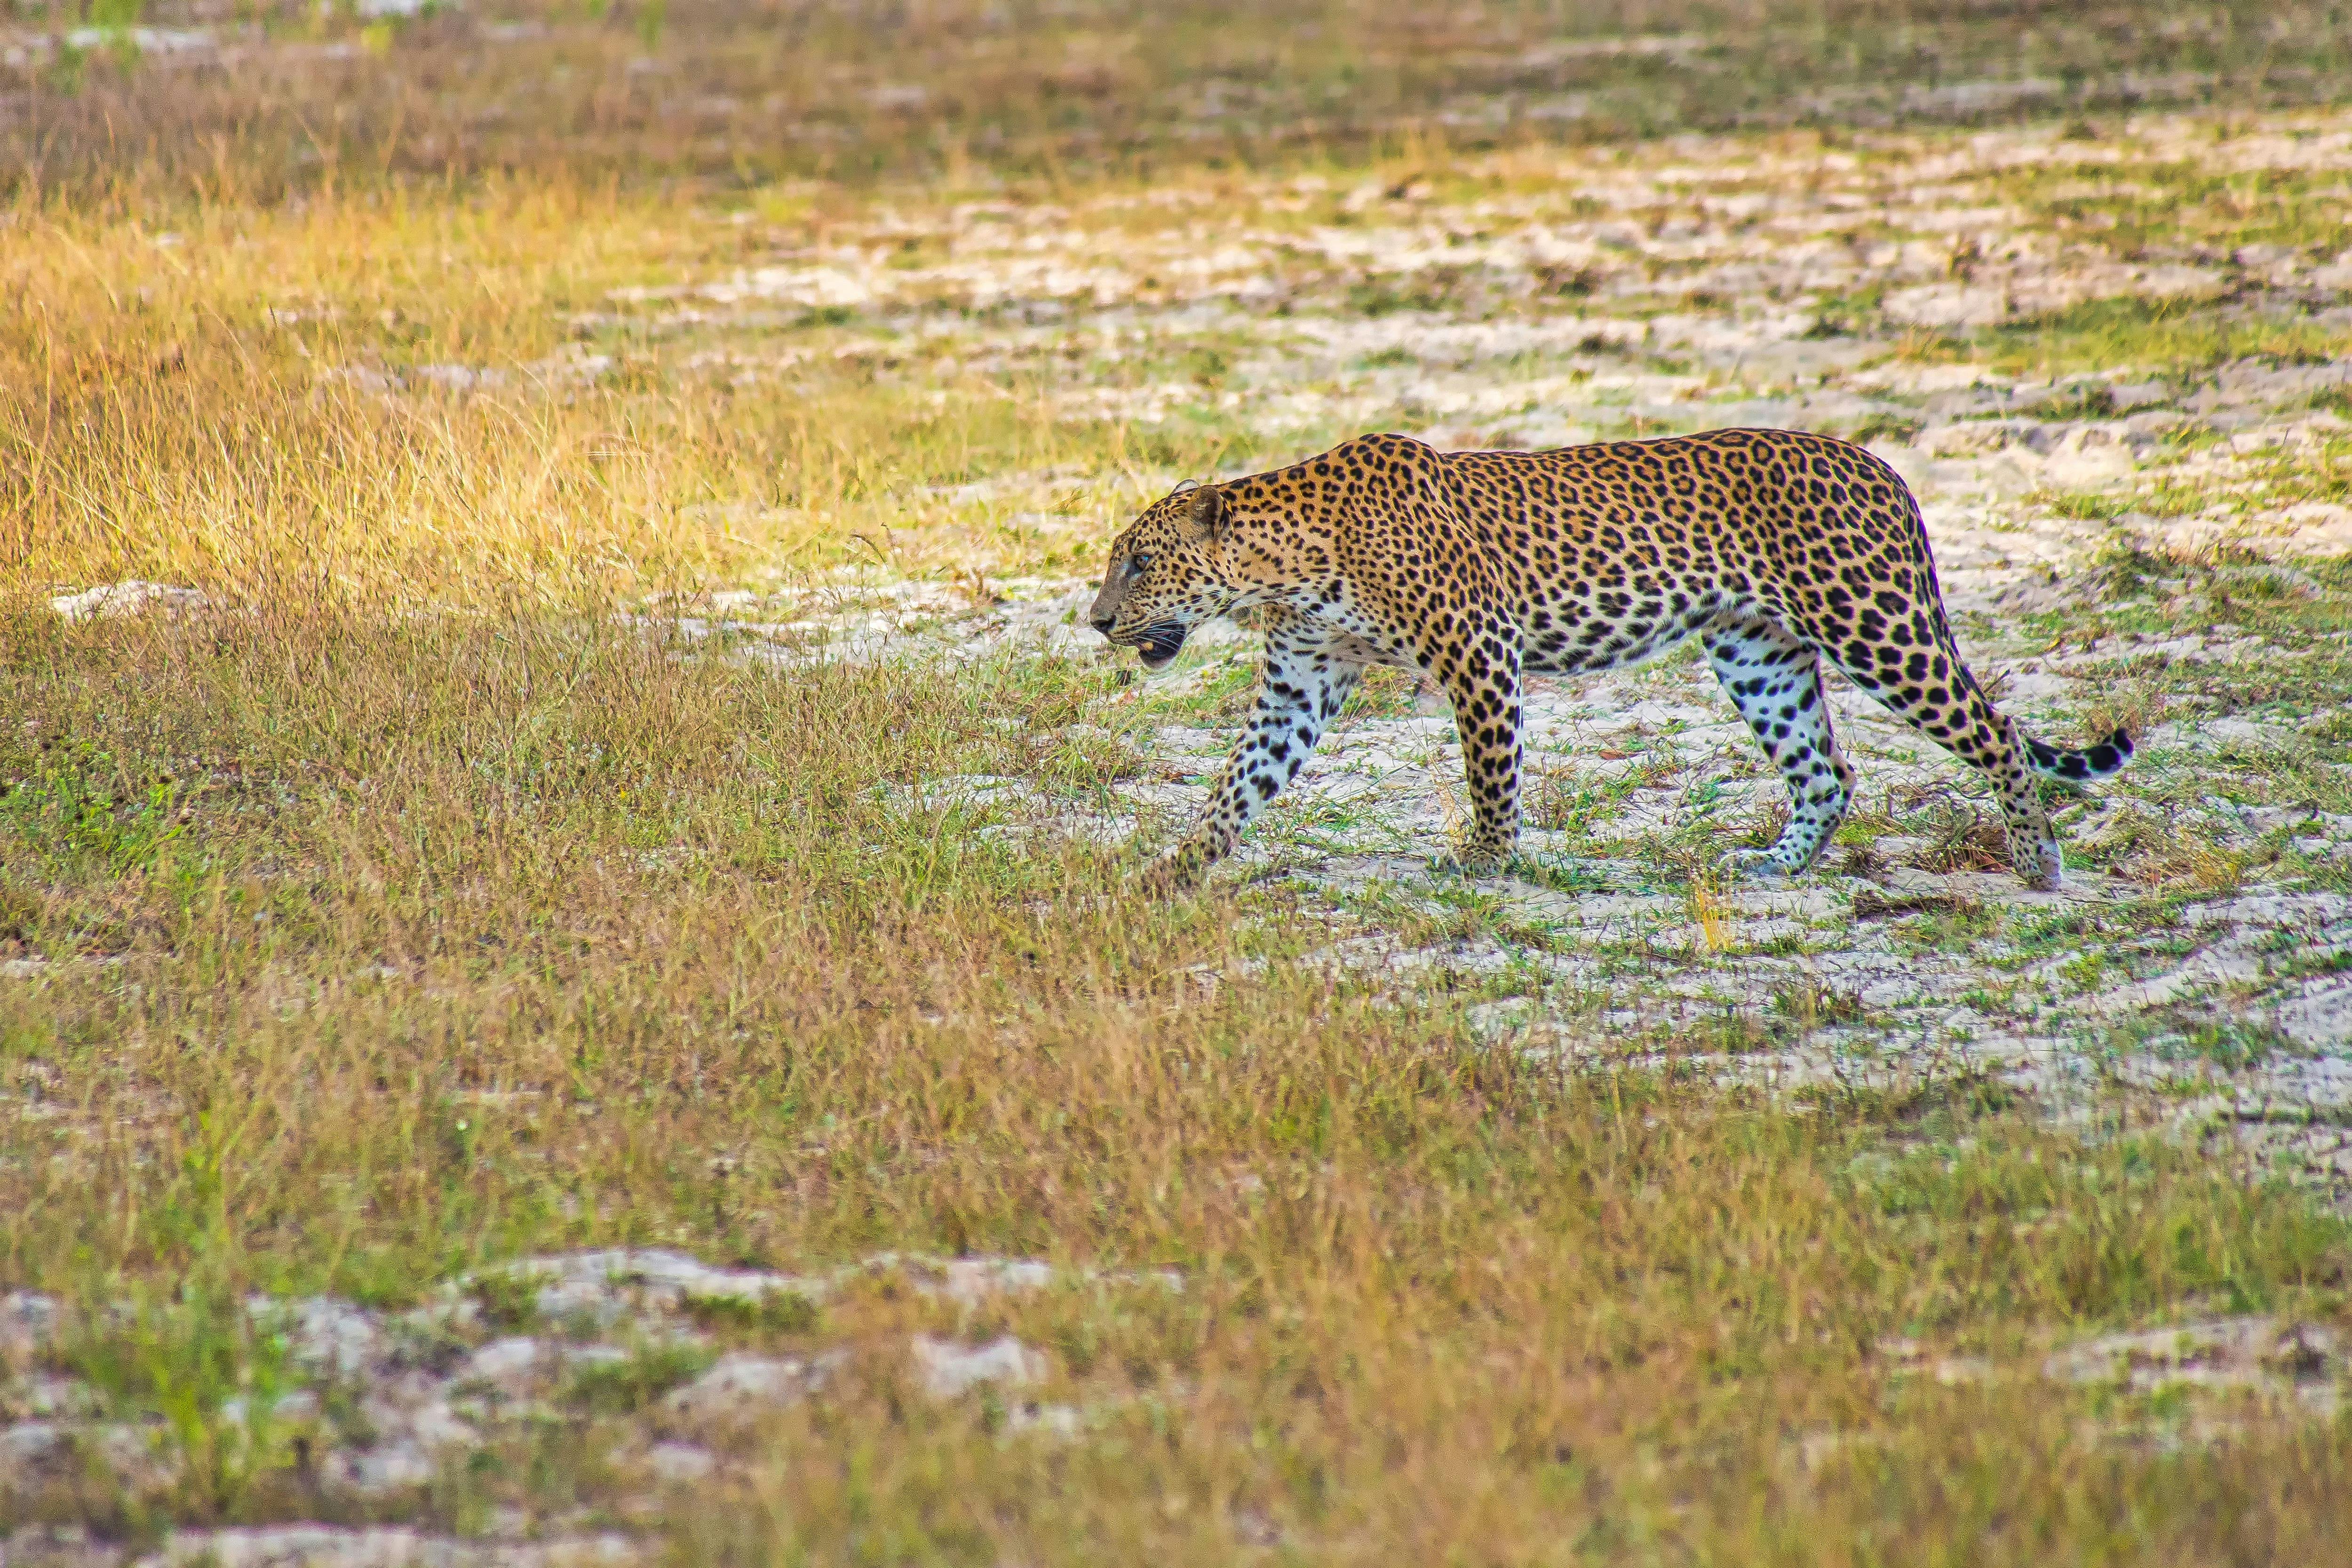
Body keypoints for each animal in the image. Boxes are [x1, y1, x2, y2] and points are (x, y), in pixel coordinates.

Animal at [1082, 430, 2136, 888]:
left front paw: (1487, 861)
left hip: (1874, 623)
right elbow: (1238, 782)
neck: (1288, 564)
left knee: (1998, 730)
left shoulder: (1479, 649)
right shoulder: (1300, 680)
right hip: (1757, 652)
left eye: (1139, 562)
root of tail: (1884, 467)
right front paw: (1172, 867)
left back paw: (2039, 861)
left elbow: (1491, 769)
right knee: (1827, 768)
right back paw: (1774, 864)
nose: (1095, 621)